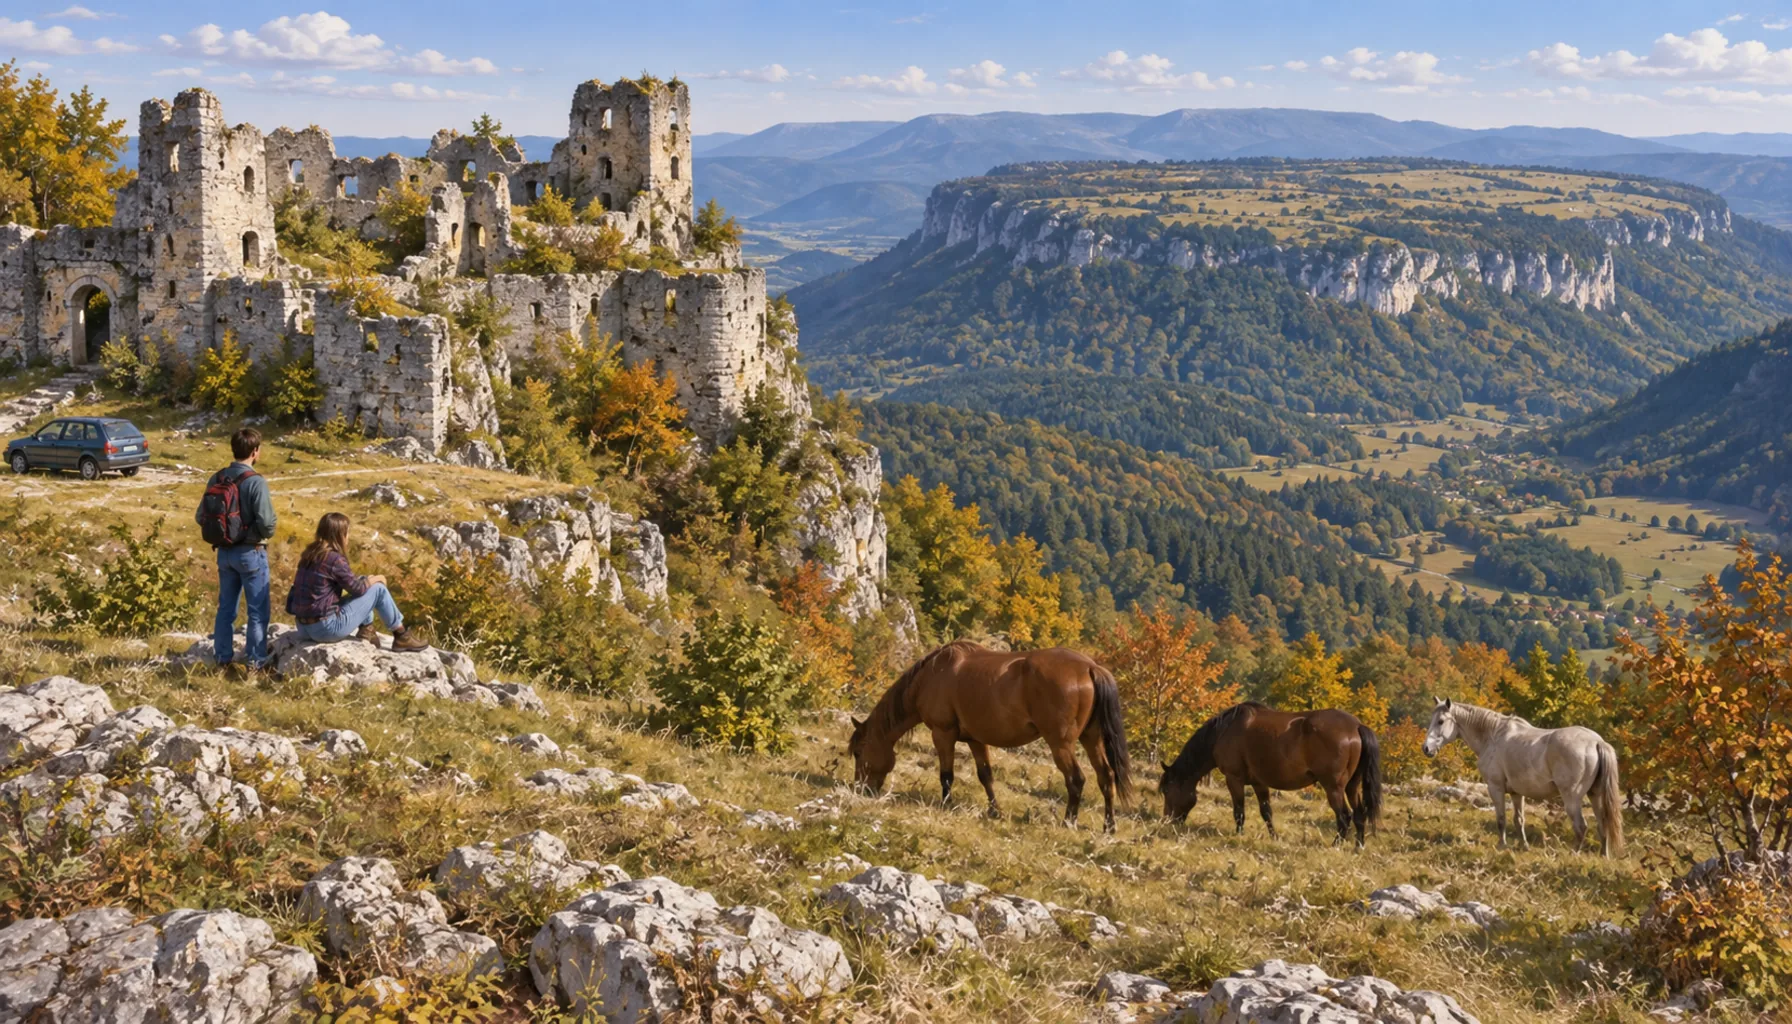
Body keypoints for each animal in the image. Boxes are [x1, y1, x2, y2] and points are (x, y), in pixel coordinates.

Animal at [847, 641, 1135, 831]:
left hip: (1060, 744)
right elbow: (985, 775)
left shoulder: (943, 734)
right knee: (1106, 777)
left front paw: (946, 804)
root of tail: (1090, 668)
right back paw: (1109, 826)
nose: (860, 788)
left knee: (1076, 779)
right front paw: (994, 811)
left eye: (859, 752)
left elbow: (946, 775)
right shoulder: (976, 739)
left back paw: (1068, 822)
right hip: (1091, 739)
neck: (931, 676)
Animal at [1160, 701, 1383, 847]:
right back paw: (1358, 847)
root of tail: (1356, 726)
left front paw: (1239, 836)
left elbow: (1239, 811)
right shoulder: (1259, 783)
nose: (1167, 822)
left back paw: (1335, 846)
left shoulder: (1234, 778)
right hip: (1352, 786)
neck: (1224, 731)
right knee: (1359, 814)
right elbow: (1266, 812)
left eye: (1166, 791)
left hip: (1333, 787)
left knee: (1344, 817)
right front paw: (1274, 837)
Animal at [1423, 697, 1624, 857]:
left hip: (1572, 798)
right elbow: (1518, 820)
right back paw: (1603, 855)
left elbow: (1501, 819)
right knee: (1602, 824)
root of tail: (1596, 742)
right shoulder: (1516, 793)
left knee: (1581, 826)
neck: (1492, 736)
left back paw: (1574, 854)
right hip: (1595, 795)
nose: (1426, 748)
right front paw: (1524, 846)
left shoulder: (1495, 788)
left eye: (1441, 721)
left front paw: (1502, 845)